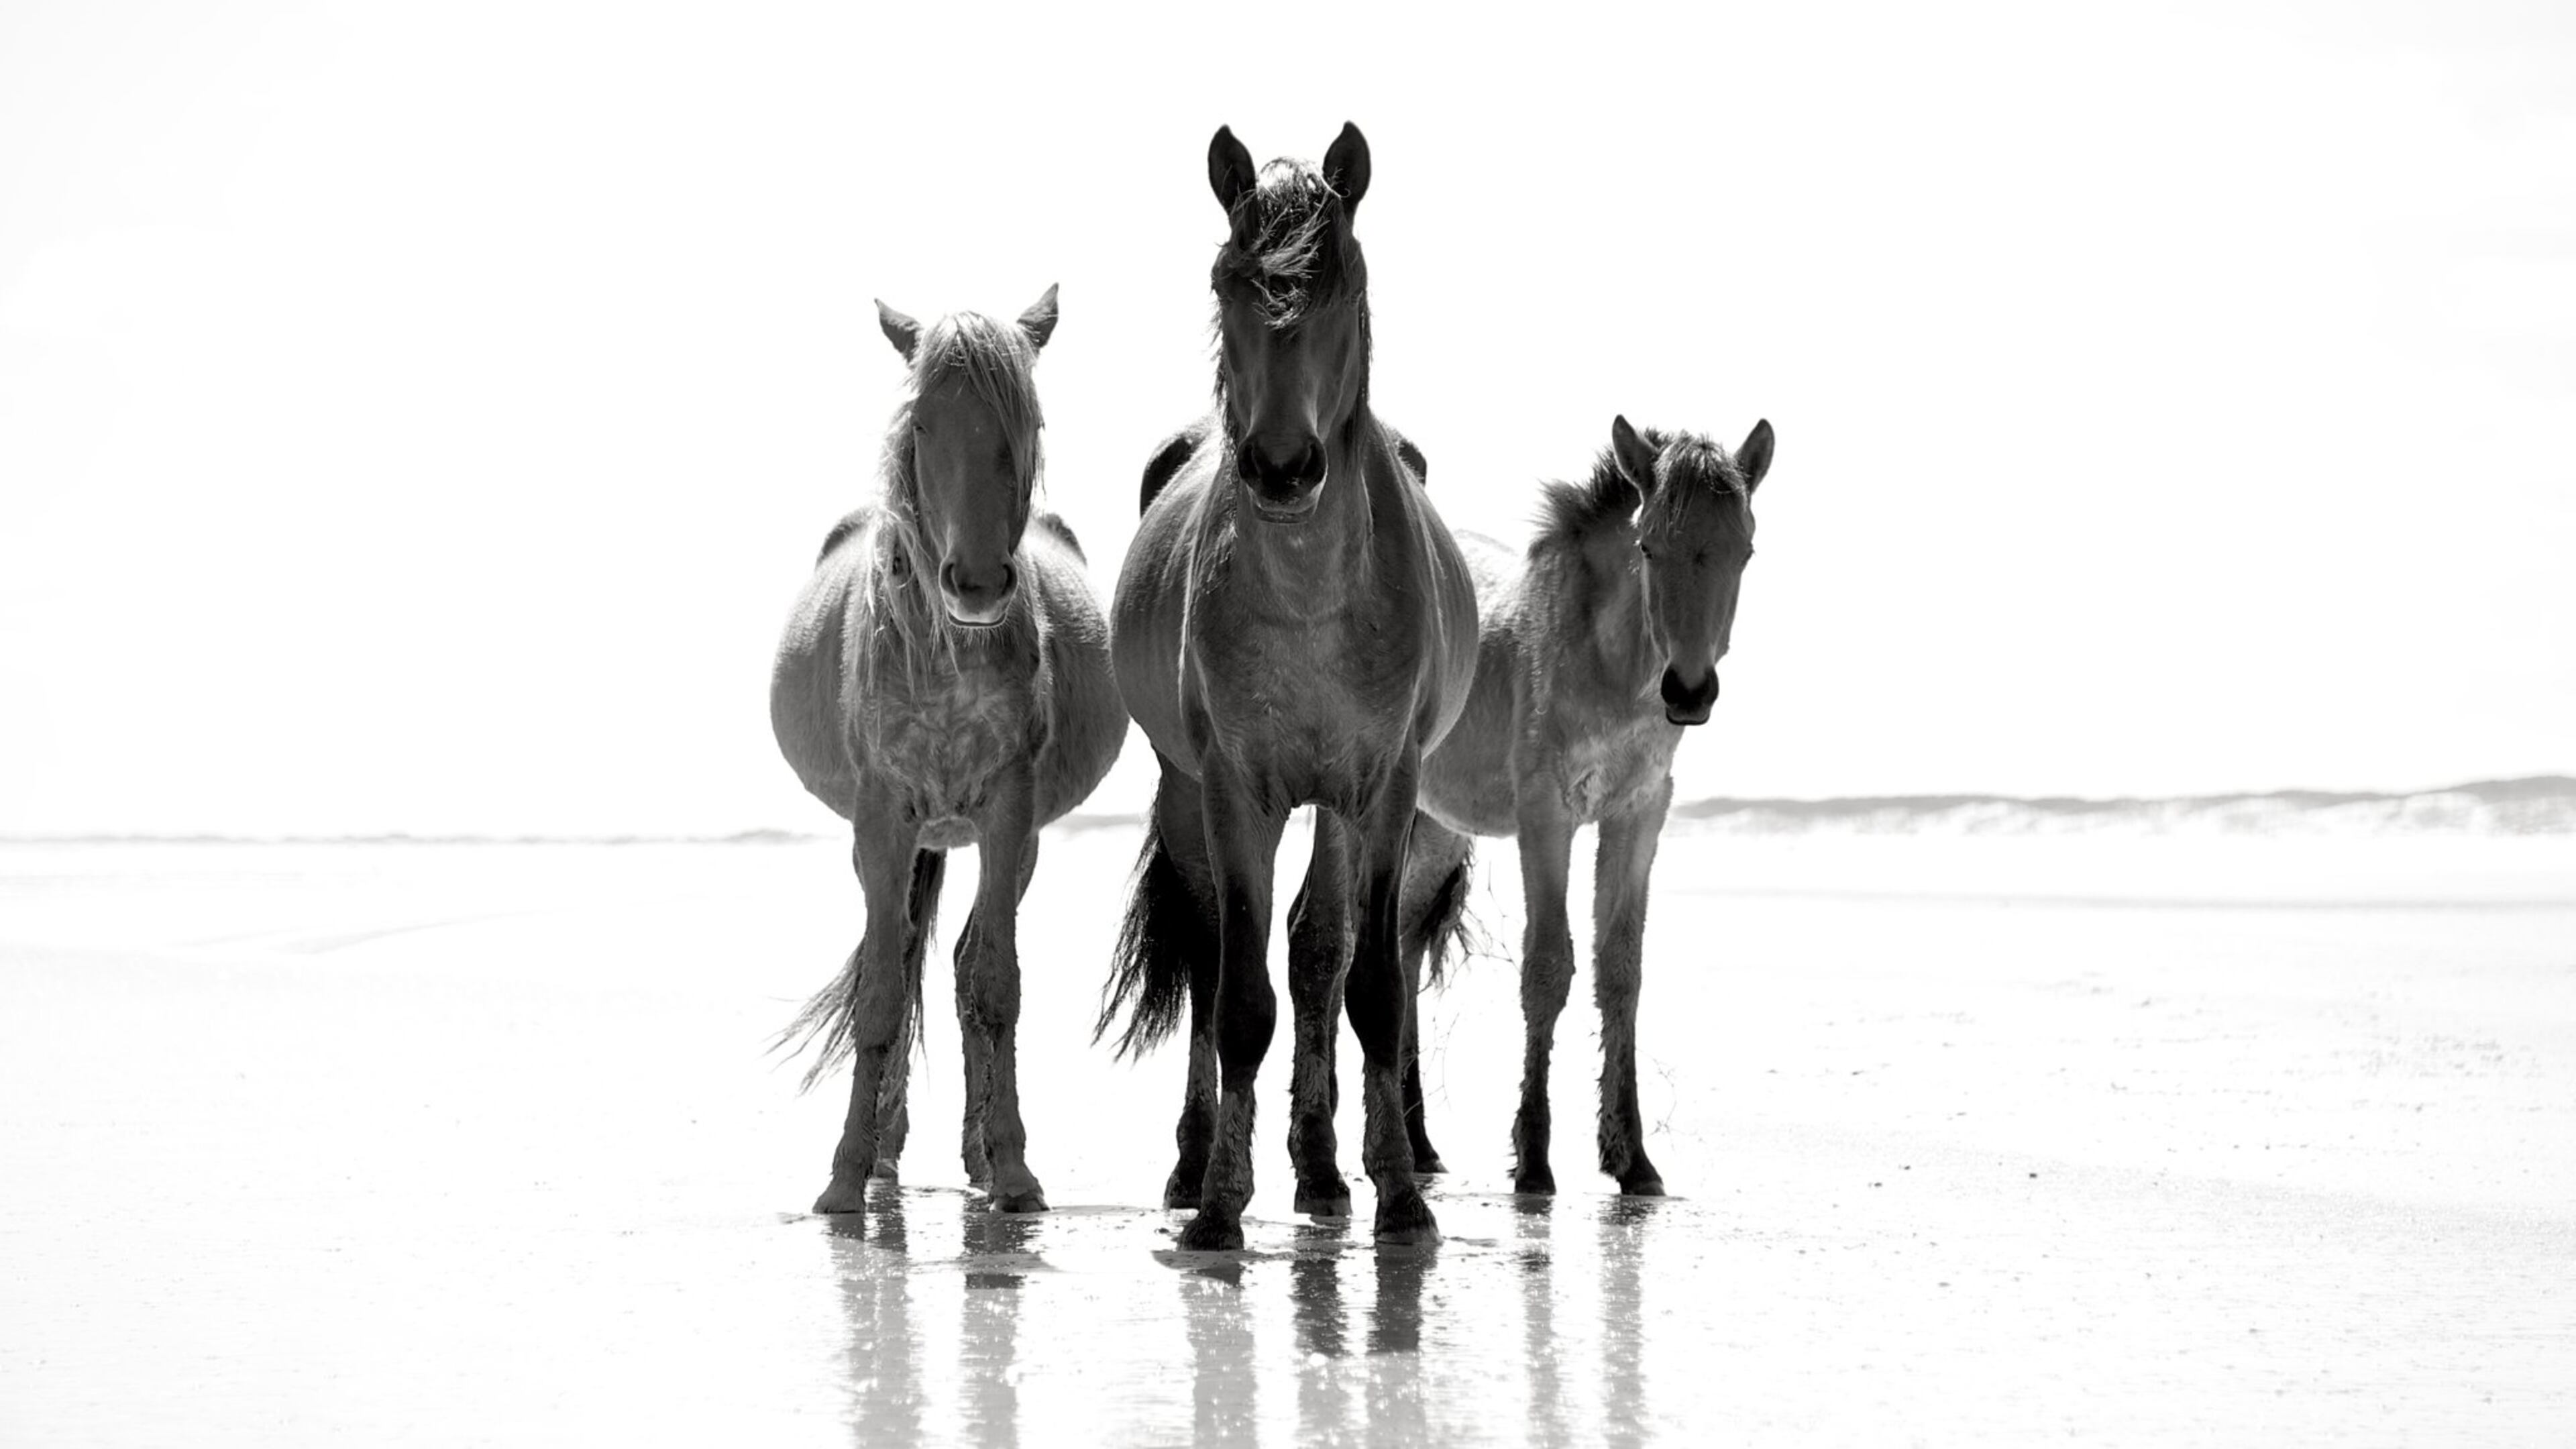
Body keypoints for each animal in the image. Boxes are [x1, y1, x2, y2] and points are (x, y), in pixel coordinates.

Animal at [771, 285, 1125, 1216]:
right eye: (923, 423)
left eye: (1027, 419)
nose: (975, 583)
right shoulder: (882, 818)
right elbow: (882, 995)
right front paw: (846, 1176)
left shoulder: (1009, 811)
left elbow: (994, 985)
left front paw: (1014, 1171)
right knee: (899, 960)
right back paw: (885, 1154)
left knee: (964, 966)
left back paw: (977, 1156)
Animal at [1098, 123, 1479, 1249]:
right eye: (1229, 281)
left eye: (1344, 280)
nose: (1280, 469)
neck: (1311, 595)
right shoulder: (1235, 788)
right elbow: (1238, 999)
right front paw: (1220, 1204)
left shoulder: (1382, 788)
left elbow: (1366, 985)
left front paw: (1399, 1197)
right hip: (1184, 788)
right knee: (1210, 947)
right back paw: (1194, 1165)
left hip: (1341, 808)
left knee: (1317, 953)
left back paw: (1321, 1169)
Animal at [1395, 415, 1776, 1195]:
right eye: (1647, 546)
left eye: (1745, 551)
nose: (1688, 691)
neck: (1609, 663)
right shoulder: (1548, 817)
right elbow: (1547, 968)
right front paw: (1534, 1157)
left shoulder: (1638, 817)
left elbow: (1620, 971)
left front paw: (1631, 1158)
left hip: (1439, 829)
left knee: (1403, 941)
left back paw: (1416, 1143)